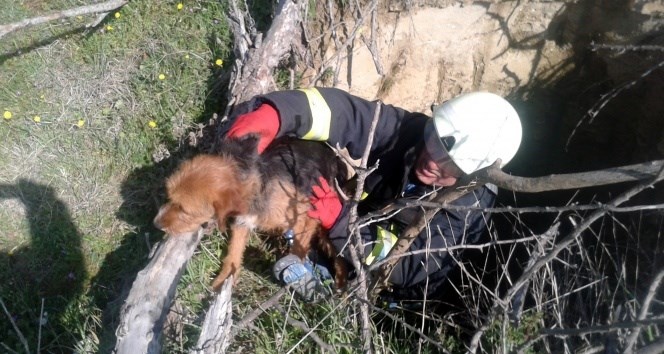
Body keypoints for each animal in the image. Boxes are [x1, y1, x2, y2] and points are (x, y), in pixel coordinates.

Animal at [151, 136, 348, 290]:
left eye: (184, 209)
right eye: (170, 197)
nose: (156, 223)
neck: (255, 184)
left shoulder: (305, 215)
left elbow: (299, 247)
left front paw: (298, 269)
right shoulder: (242, 222)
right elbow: (233, 253)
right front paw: (224, 280)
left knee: (338, 250)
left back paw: (342, 284)